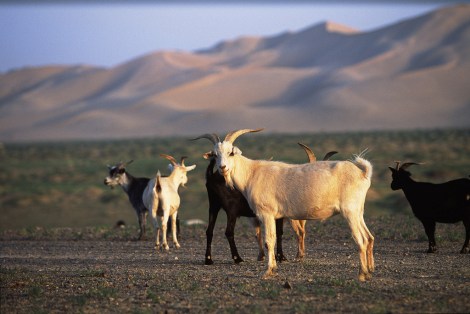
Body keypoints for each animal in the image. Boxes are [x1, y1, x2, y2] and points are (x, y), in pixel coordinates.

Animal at [204, 129, 376, 280]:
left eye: (231, 152)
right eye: (215, 154)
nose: (223, 167)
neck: (252, 173)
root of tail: (362, 173)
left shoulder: (266, 214)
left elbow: (269, 240)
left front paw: (268, 271)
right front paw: (273, 268)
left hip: (350, 212)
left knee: (361, 239)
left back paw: (362, 274)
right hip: (358, 212)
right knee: (369, 237)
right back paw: (369, 272)